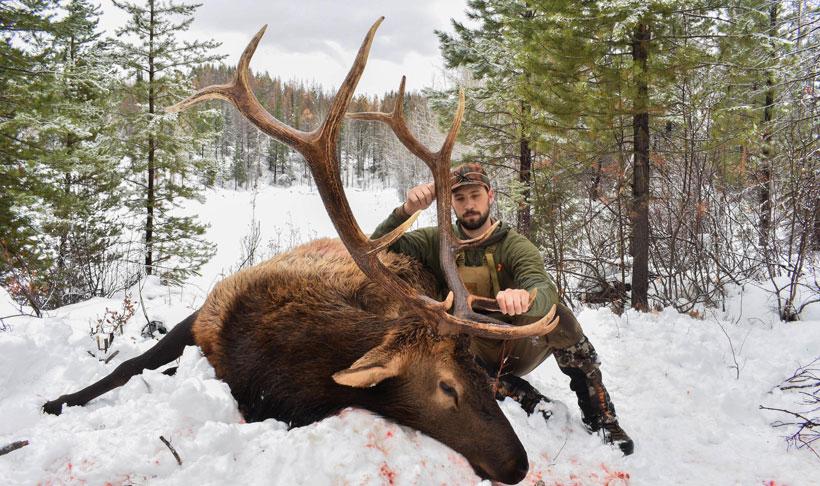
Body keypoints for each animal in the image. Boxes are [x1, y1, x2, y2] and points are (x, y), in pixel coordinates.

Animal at [42, 18, 560, 484]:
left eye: (479, 376)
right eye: (446, 386)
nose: (518, 464)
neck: (274, 363)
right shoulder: (205, 314)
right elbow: (127, 365)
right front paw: (55, 401)